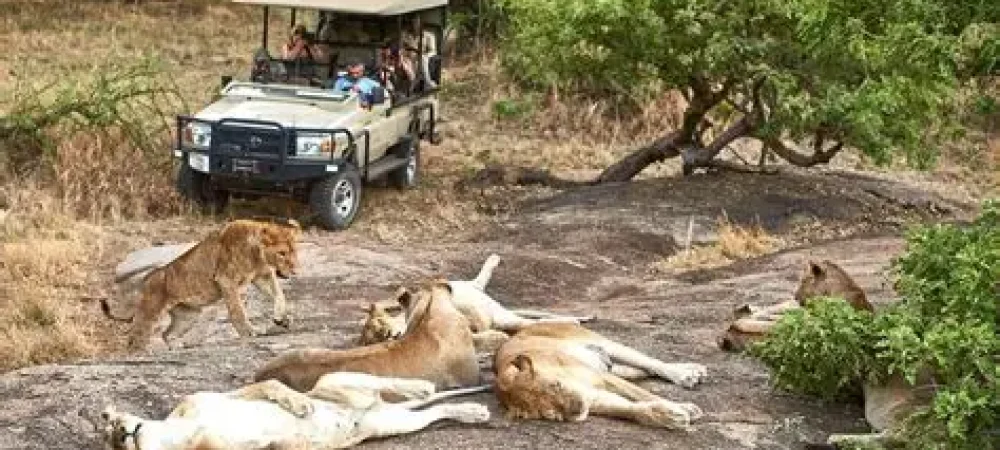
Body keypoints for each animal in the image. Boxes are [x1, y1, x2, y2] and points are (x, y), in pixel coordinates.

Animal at [101, 218, 301, 352]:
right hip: (151, 311)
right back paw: (140, 352)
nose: (295, 270)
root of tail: (147, 280)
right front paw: (249, 331)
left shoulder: (262, 276)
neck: (258, 255)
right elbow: (237, 310)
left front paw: (281, 319)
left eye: (295, 252)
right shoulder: (226, 279)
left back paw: (176, 346)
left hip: (189, 315)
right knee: (136, 336)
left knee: (167, 334)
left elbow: (279, 295)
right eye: (282, 253)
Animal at [493, 322, 708, 430]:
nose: (577, 409)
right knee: (641, 369)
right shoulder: (595, 398)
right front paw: (666, 416)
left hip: (603, 343)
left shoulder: (601, 377)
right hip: (609, 364)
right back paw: (693, 371)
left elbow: (643, 394)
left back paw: (686, 374)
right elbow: (629, 409)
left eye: (556, 385)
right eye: (551, 415)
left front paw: (685, 408)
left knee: (651, 362)